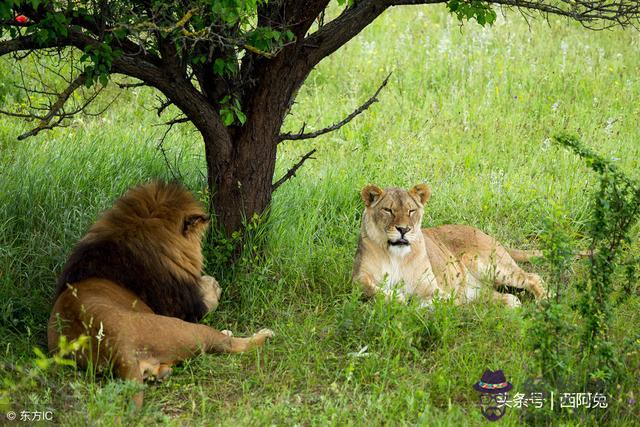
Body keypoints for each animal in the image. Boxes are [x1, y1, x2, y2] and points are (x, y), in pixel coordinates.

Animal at [47, 181, 272, 408]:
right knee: (232, 344)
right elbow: (208, 297)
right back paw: (264, 334)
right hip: (187, 328)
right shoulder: (183, 307)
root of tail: (119, 347)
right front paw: (213, 284)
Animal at [352, 184, 548, 308]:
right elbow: (367, 287)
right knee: (504, 297)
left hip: (487, 264)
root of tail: (485, 233)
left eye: (411, 210)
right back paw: (510, 302)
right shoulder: (358, 277)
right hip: (476, 288)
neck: (396, 255)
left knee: (533, 277)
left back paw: (544, 300)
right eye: (388, 210)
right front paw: (396, 297)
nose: (403, 229)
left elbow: (436, 301)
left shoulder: (434, 288)